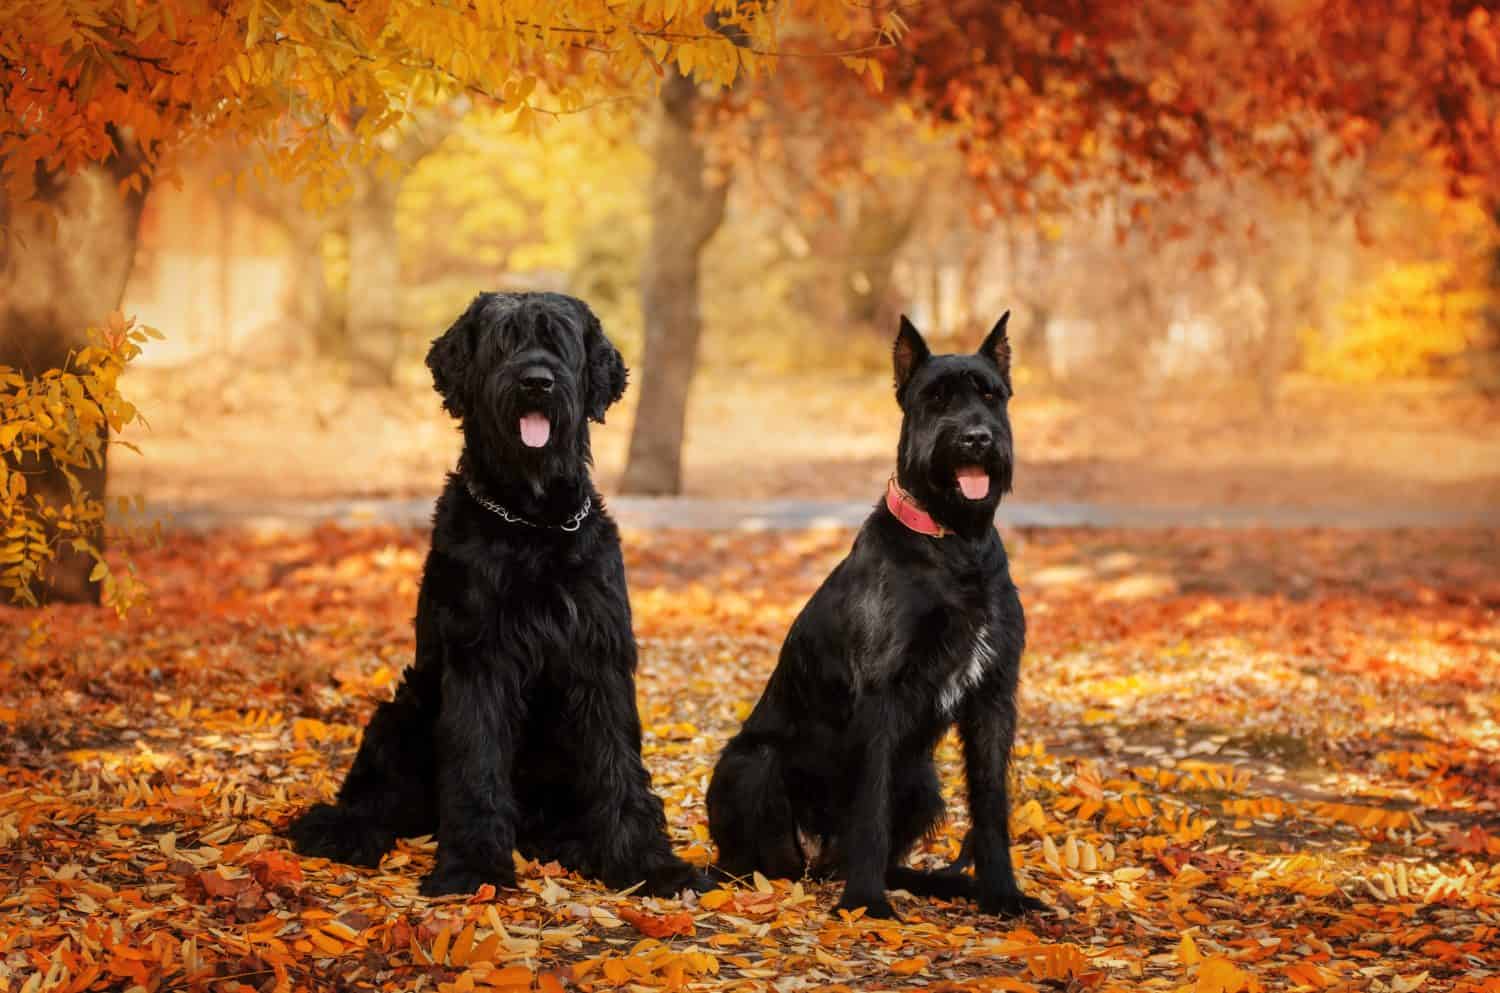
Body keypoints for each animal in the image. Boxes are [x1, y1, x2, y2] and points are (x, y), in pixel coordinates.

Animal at [294, 292, 714, 900]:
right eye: (504, 341)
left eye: (558, 340)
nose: (537, 381)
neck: (532, 520)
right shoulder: (481, 659)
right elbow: (477, 764)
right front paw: (472, 868)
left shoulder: (599, 658)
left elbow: (618, 763)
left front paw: (646, 863)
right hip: (403, 709)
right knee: (372, 798)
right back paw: (343, 830)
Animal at [705, 315, 1044, 924]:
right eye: (936, 397)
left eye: (990, 395)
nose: (976, 439)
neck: (954, 542)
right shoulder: (883, 695)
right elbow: (871, 808)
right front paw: (864, 903)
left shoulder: (994, 696)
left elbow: (991, 804)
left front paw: (1001, 893)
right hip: (751, 765)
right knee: (773, 862)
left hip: (923, 781)